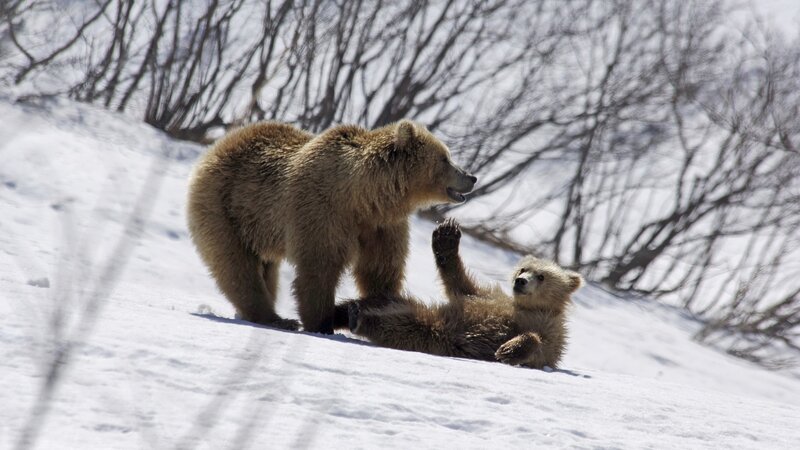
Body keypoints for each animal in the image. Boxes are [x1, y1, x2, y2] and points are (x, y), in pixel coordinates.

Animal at [187, 120, 476, 333]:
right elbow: (319, 267)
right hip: (225, 207)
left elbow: (380, 271)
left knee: (265, 269)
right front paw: (321, 323)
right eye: (445, 158)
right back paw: (274, 317)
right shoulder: (323, 212)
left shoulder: (382, 227)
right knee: (236, 267)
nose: (471, 177)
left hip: (258, 226)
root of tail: (220, 144)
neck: (364, 199)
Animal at [334, 219, 583, 369]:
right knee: (386, 304)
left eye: (541, 276)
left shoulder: (550, 329)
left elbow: (540, 347)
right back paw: (343, 312)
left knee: (401, 323)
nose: (520, 282)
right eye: (523, 269)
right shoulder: (486, 296)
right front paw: (446, 238)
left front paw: (509, 349)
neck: (528, 307)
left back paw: (357, 318)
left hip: (436, 334)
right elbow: (460, 284)